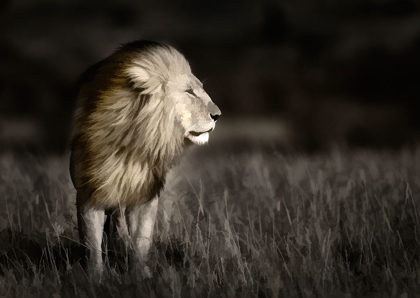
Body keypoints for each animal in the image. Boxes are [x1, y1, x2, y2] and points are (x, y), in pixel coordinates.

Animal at [69, 40, 220, 276]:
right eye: (189, 92)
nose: (218, 115)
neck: (134, 143)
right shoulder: (89, 192)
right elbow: (92, 244)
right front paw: (95, 277)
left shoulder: (146, 194)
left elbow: (141, 239)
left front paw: (140, 276)